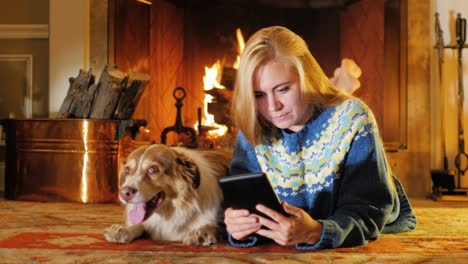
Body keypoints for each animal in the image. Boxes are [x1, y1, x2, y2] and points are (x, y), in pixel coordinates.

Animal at [104, 144, 232, 245]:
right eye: (127, 170)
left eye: (153, 169)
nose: (124, 193)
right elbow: (139, 224)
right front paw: (122, 230)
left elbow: (215, 226)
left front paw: (200, 233)